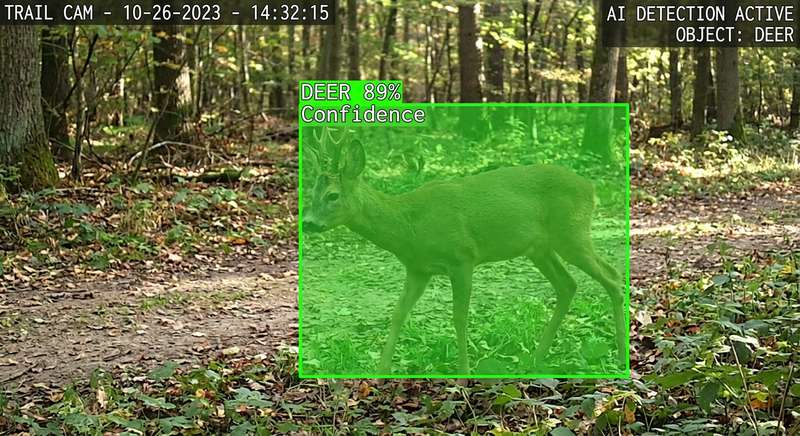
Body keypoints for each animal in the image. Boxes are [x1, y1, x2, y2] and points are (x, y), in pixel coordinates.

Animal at [302, 138, 627, 374]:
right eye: (311, 193)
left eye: (332, 195)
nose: (307, 223)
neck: (409, 225)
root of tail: (591, 187)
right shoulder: (418, 269)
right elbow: (397, 314)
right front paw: (381, 370)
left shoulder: (462, 258)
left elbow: (459, 316)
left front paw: (464, 371)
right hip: (540, 248)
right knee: (568, 285)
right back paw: (536, 359)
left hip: (571, 234)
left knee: (612, 276)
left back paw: (621, 354)